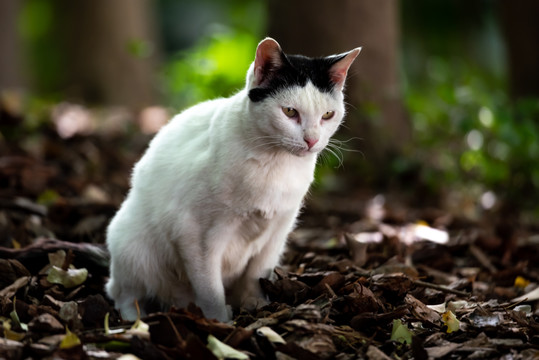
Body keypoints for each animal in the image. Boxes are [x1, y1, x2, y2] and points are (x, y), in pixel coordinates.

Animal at [104, 38, 362, 322]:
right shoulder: (195, 234)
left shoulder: (278, 230)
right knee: (125, 295)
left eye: (327, 115)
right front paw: (220, 321)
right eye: (289, 111)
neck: (275, 165)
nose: (312, 140)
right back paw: (136, 320)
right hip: (131, 247)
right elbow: (210, 287)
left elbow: (257, 274)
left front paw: (256, 305)